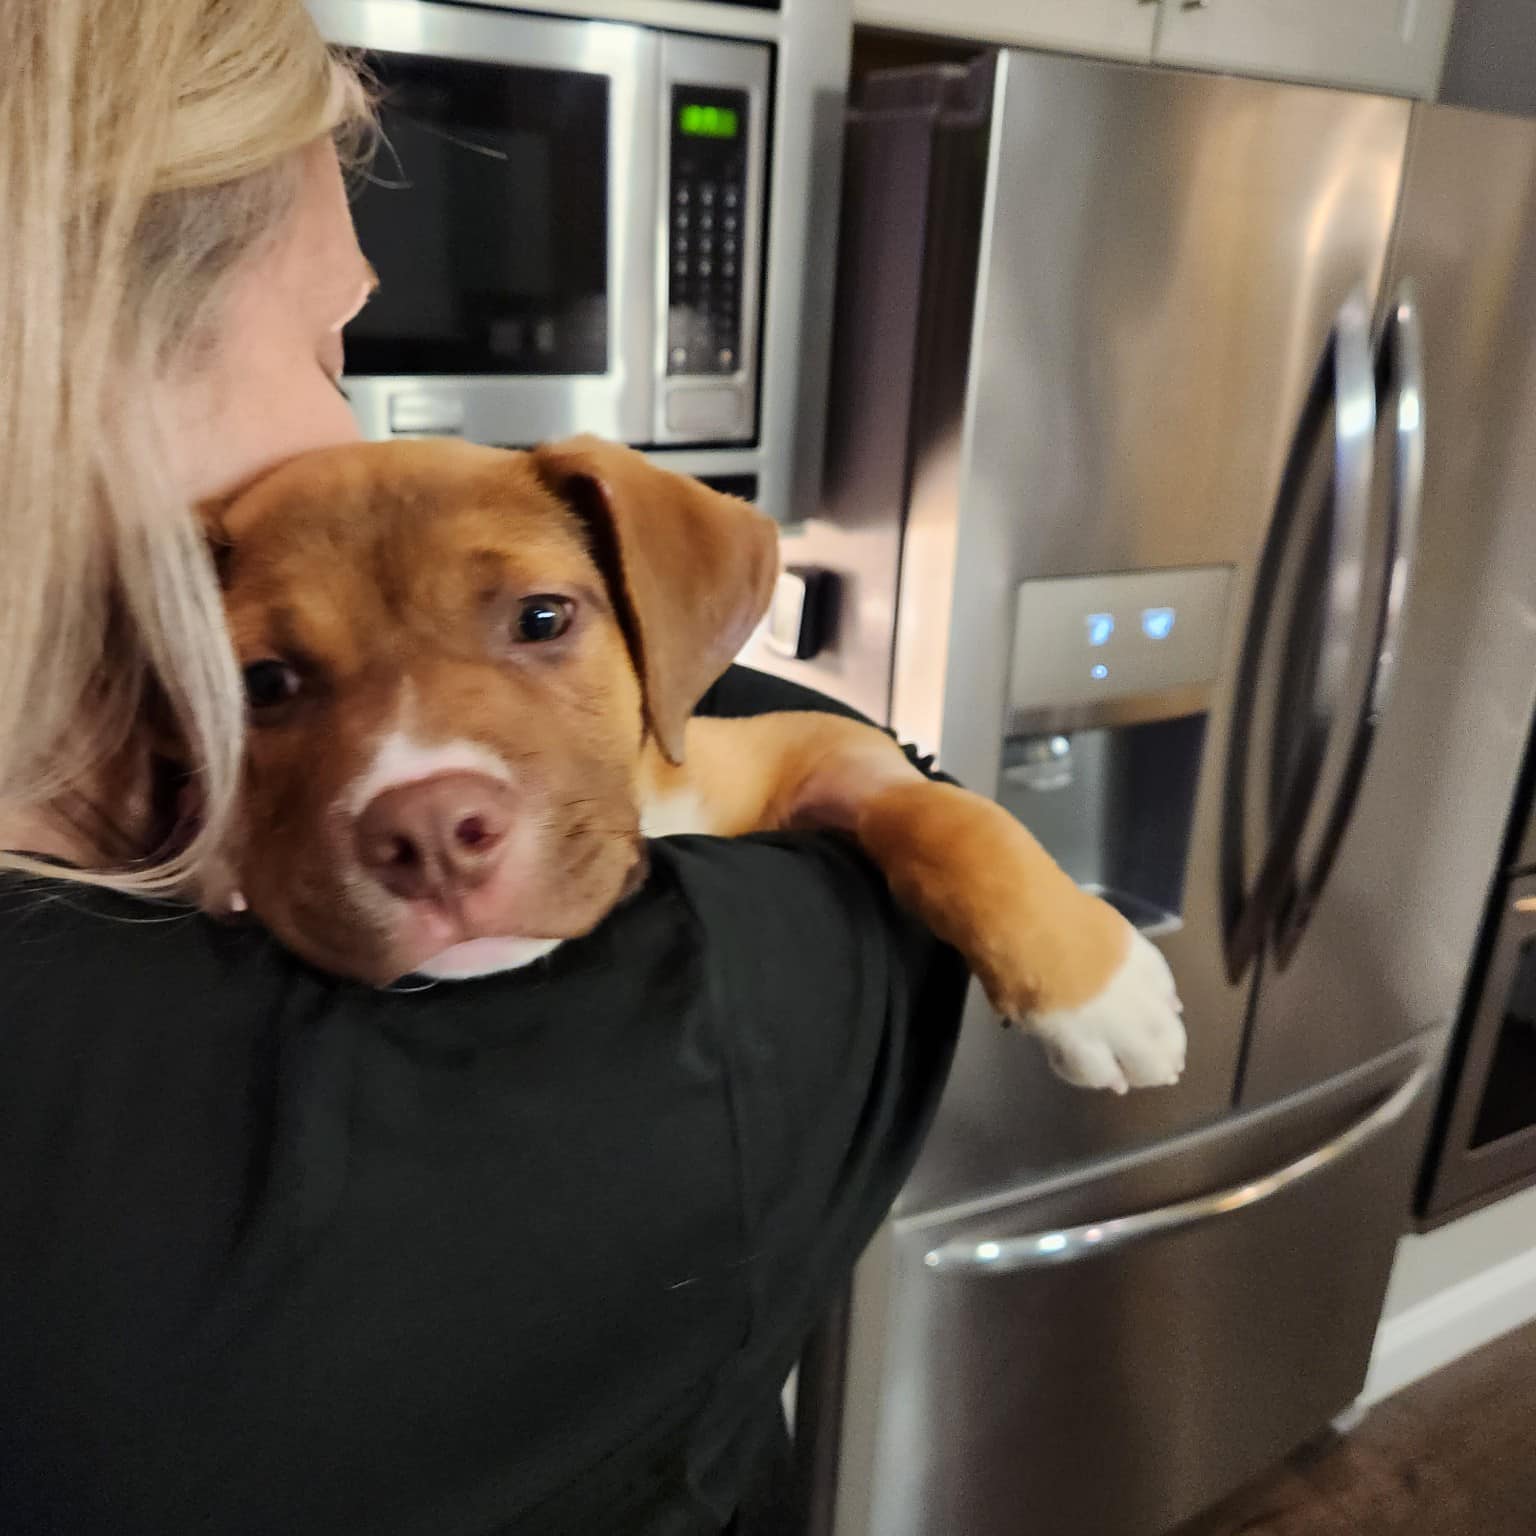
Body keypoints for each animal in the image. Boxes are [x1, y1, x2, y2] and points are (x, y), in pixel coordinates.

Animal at [207, 433, 1185, 1093]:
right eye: (262, 683)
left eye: (542, 617)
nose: (434, 833)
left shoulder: (814, 746)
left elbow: (943, 813)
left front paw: (1096, 988)